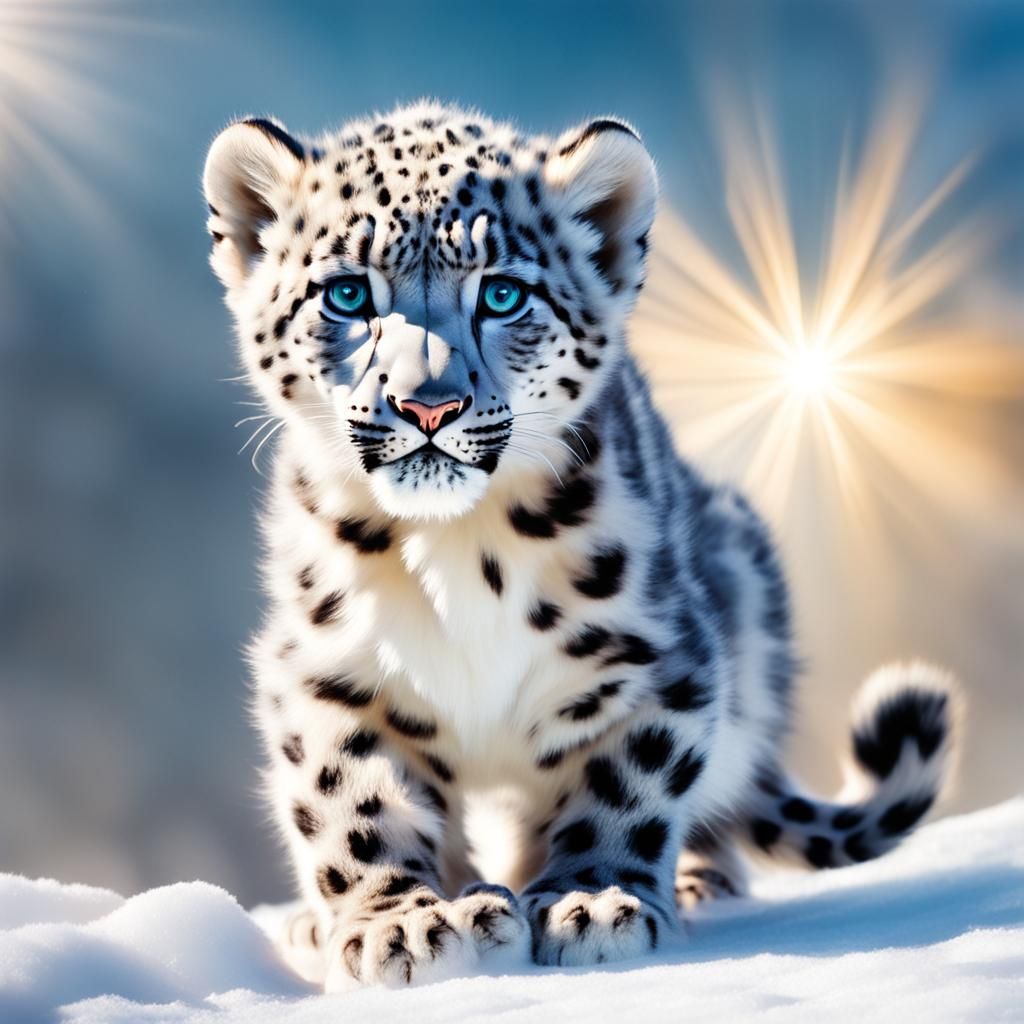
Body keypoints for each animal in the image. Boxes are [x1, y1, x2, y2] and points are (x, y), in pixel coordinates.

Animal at [201, 101, 960, 991]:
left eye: (502, 294)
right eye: (348, 293)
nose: (429, 406)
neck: (457, 551)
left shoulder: (660, 660)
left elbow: (624, 786)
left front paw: (591, 901)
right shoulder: (327, 673)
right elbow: (354, 802)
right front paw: (400, 926)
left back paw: (690, 883)